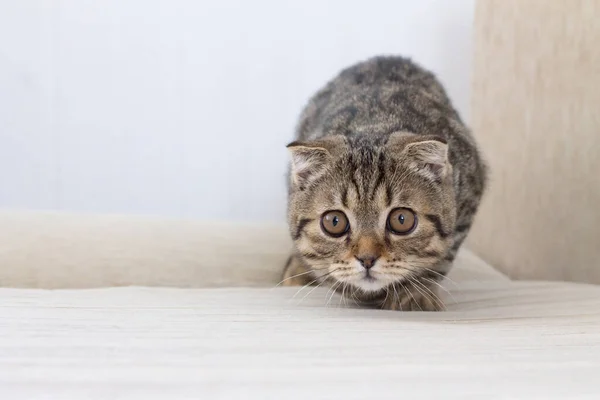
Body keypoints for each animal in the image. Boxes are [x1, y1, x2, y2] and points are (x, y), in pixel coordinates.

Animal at [282, 56, 488, 310]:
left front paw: (414, 294)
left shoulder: (470, 192)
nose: (367, 259)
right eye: (334, 222)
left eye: (402, 219)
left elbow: (441, 259)